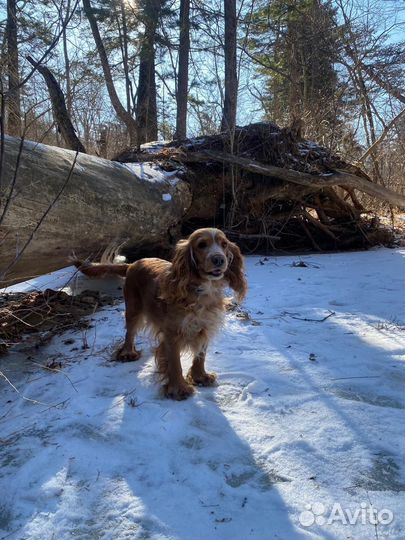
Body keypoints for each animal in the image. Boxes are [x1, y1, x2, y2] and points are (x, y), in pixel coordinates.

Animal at [74, 226, 248, 398]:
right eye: (201, 245)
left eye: (224, 244)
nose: (219, 259)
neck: (202, 291)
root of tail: (133, 263)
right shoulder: (172, 332)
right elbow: (175, 363)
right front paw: (179, 389)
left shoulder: (205, 327)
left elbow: (200, 355)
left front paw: (200, 377)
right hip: (133, 307)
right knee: (130, 332)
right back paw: (128, 353)